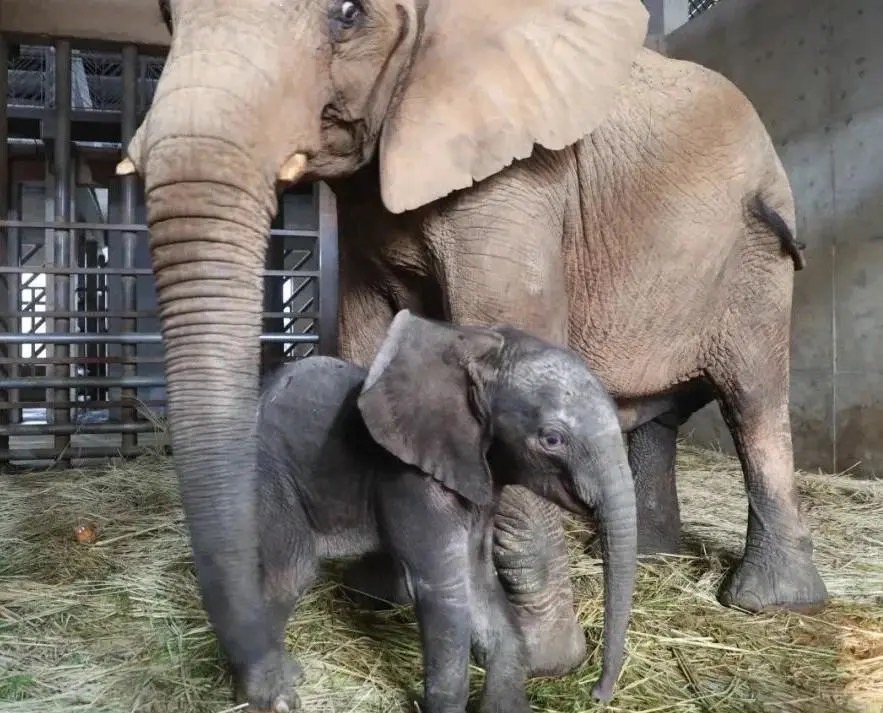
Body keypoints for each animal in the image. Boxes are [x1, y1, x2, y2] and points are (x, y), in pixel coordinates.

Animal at [252, 310, 640, 712]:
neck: (476, 351)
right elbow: (445, 592)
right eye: (551, 439)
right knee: (291, 571)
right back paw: (279, 690)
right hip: (270, 475)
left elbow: (479, 581)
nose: (597, 694)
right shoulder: (410, 481)